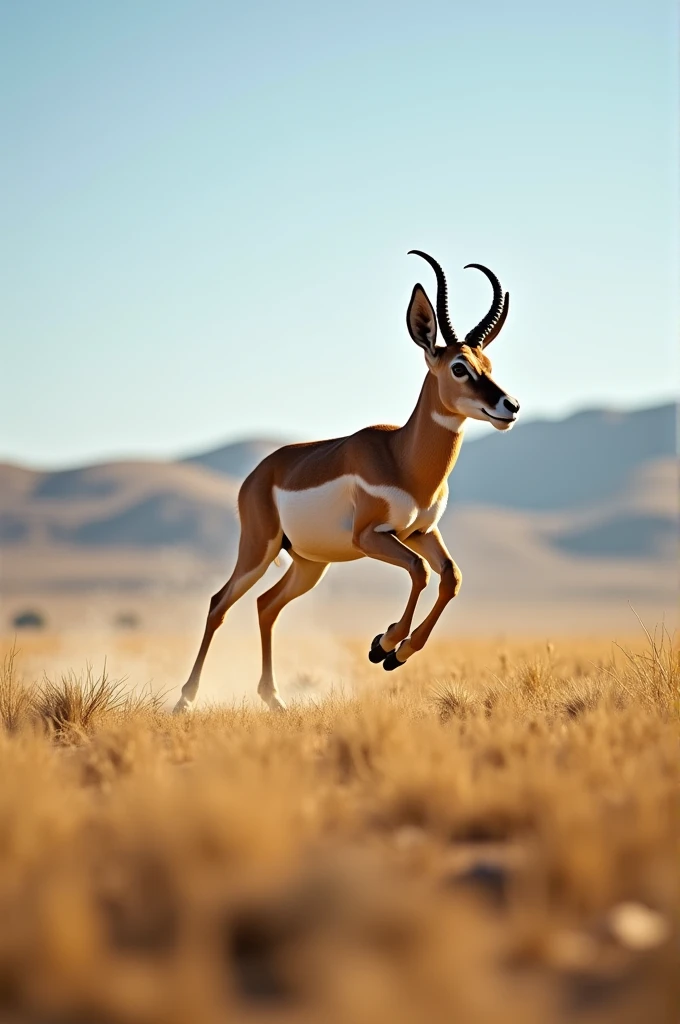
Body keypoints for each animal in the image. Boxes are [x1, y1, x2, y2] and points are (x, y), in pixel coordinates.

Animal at [173, 250, 518, 712]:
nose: (509, 405)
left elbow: (450, 576)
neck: (402, 458)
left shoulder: (421, 531)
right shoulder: (370, 536)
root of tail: (259, 473)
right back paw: (186, 699)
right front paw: (383, 645)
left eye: (489, 365)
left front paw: (397, 653)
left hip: (309, 564)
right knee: (219, 603)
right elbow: (421, 571)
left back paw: (274, 699)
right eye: (459, 367)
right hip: (259, 549)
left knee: (266, 605)